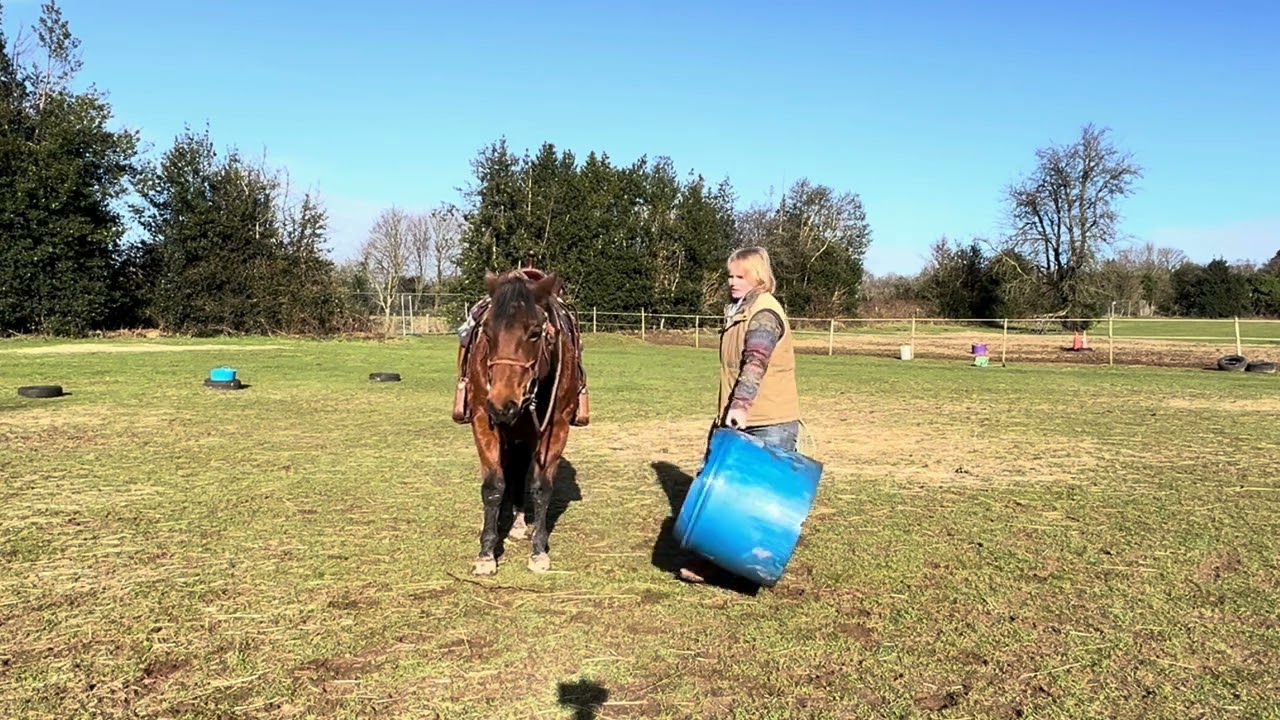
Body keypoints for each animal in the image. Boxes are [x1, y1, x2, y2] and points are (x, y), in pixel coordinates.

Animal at [462, 268, 584, 575]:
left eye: (535, 333)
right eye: (487, 333)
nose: (502, 404)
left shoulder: (556, 428)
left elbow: (541, 488)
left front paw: (539, 551)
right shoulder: (484, 421)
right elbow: (493, 487)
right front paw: (486, 553)